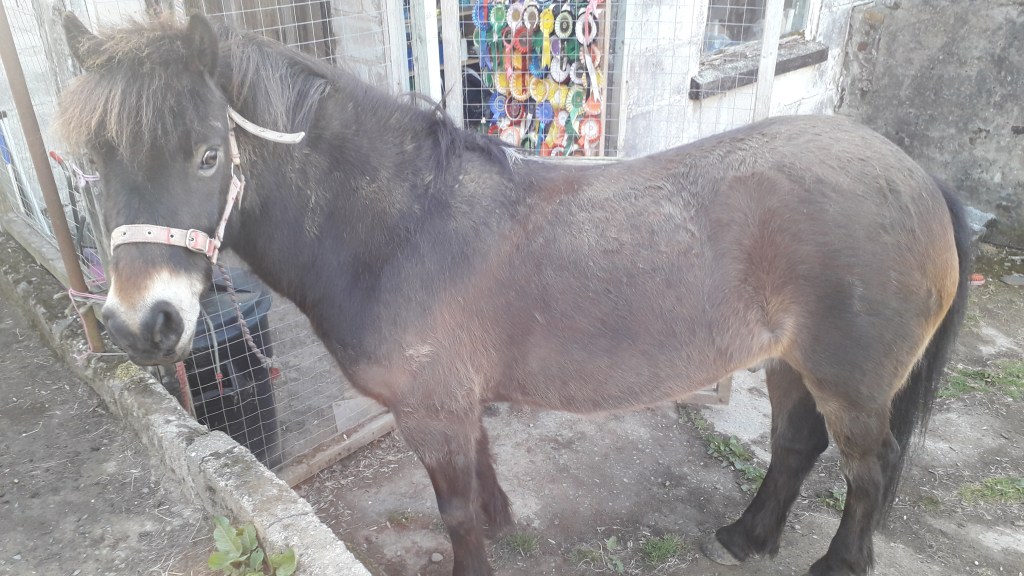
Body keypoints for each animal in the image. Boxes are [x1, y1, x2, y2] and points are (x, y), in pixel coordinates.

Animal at [58, 13, 970, 576]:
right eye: (95, 162)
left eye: (208, 156)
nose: (142, 324)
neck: (403, 228)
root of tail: (917, 177)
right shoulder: (456, 403)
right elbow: (481, 480)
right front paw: (502, 520)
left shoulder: (431, 410)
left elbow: (454, 509)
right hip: (789, 361)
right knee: (794, 447)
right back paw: (747, 537)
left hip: (853, 381)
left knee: (871, 468)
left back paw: (837, 560)